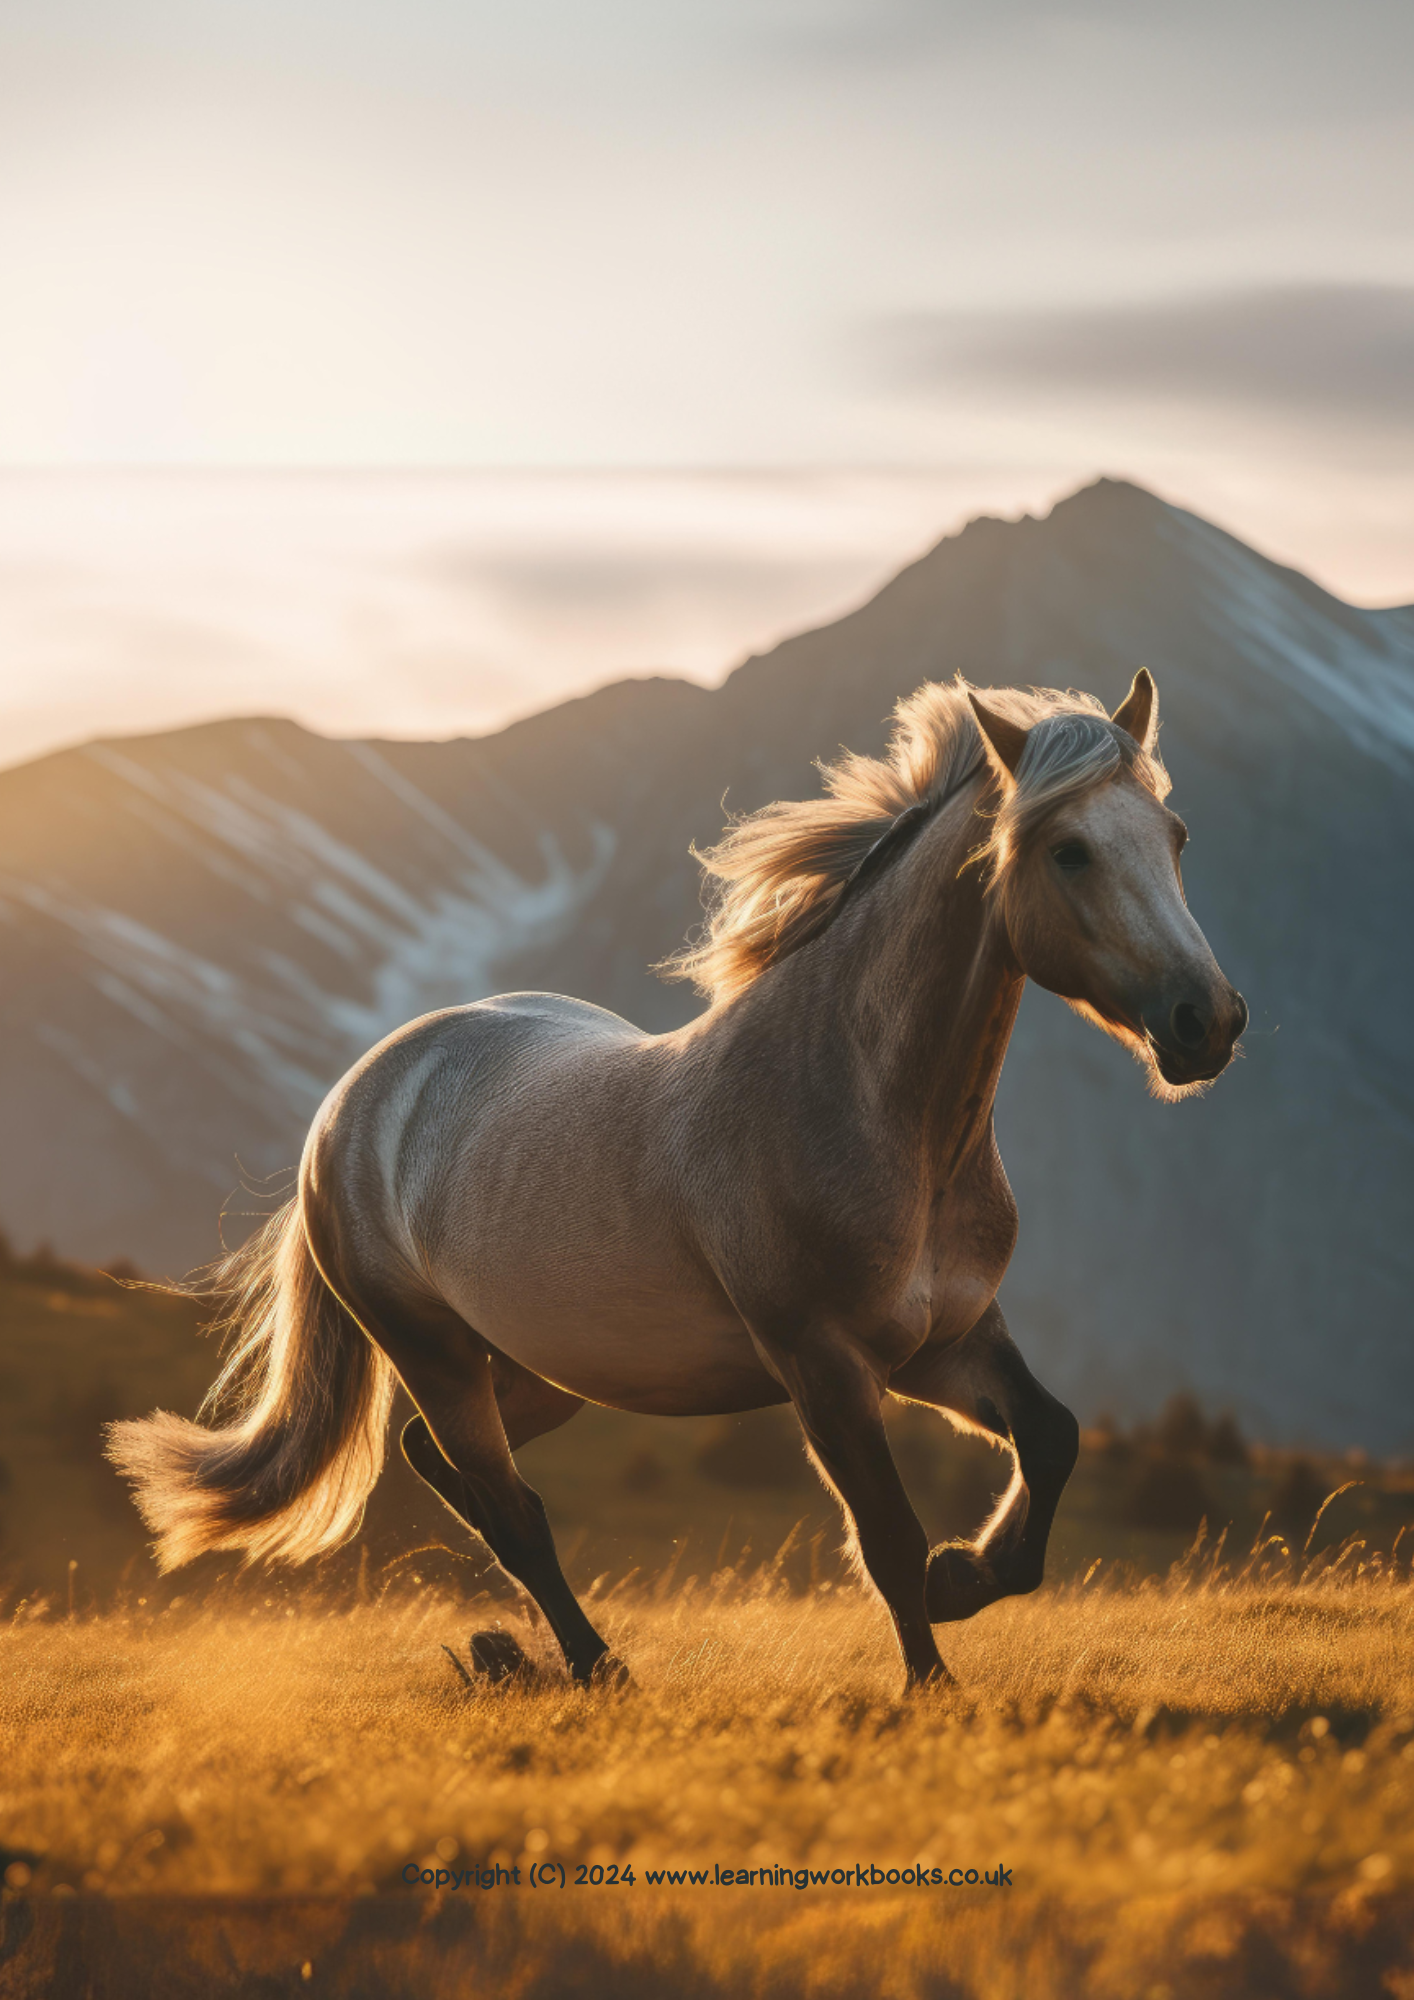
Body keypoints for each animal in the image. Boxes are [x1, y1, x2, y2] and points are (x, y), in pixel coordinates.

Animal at [109, 670, 1246, 1692]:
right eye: (1069, 849)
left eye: (1177, 835)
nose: (1208, 1021)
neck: (870, 1109)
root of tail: (353, 1098)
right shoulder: (823, 1363)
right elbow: (884, 1531)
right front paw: (933, 1676)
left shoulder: (947, 1339)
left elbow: (1050, 1437)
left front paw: (966, 1573)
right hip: (432, 1349)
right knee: (510, 1505)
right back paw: (594, 1665)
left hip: (544, 1367)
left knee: (445, 1463)